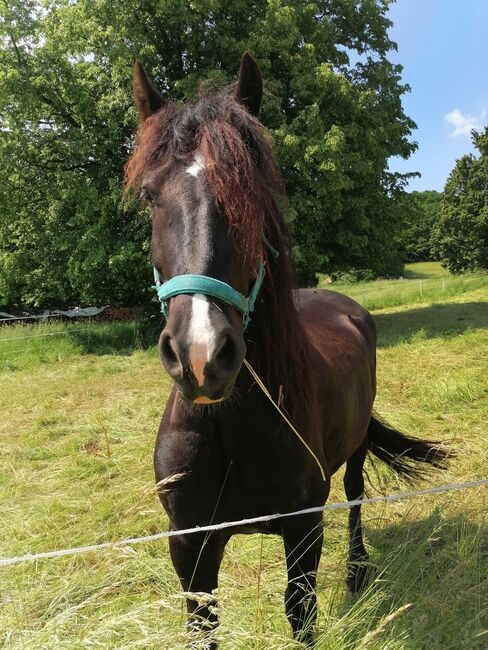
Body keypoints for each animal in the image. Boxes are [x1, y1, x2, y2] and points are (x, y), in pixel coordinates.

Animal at [125, 53, 446, 644]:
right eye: (149, 196)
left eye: (251, 192)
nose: (201, 356)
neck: (227, 425)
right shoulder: (189, 546)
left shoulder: (302, 531)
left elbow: (301, 615)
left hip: (354, 453)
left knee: (356, 492)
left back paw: (358, 572)